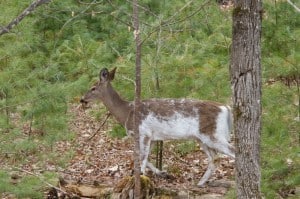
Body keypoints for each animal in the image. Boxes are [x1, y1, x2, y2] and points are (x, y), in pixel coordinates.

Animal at [81, 67, 236, 187]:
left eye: (93, 88)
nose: (82, 99)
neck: (127, 112)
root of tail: (226, 108)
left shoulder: (144, 133)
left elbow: (142, 158)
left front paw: (141, 176)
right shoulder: (154, 137)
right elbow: (146, 157)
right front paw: (162, 173)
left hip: (213, 134)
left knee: (232, 151)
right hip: (202, 138)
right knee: (214, 159)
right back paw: (200, 183)